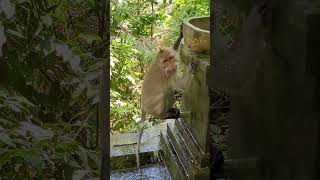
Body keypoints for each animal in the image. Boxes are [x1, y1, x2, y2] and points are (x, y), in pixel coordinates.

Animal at [135, 24, 198, 171]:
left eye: (170, 58)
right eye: (165, 61)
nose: (170, 64)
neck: (160, 64)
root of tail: (143, 107)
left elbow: (174, 47)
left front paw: (180, 34)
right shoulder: (169, 74)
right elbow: (181, 86)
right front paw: (191, 67)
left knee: (169, 93)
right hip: (153, 107)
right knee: (165, 94)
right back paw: (164, 115)